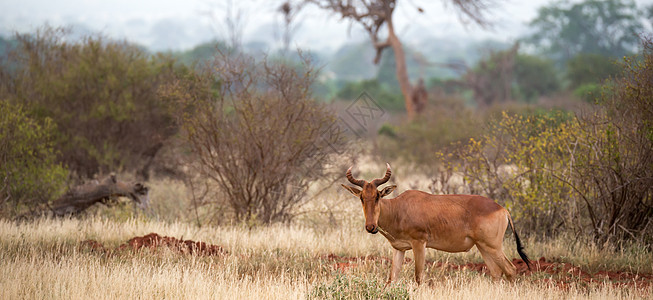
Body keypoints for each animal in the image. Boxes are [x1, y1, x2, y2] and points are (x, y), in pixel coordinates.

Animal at [342, 164, 528, 284]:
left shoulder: (419, 243)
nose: (370, 227)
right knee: (496, 273)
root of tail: (502, 209)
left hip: (493, 246)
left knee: (510, 270)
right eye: (362, 197)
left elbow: (419, 277)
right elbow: (392, 278)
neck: (399, 208)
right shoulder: (399, 249)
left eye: (378, 196)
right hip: (483, 246)